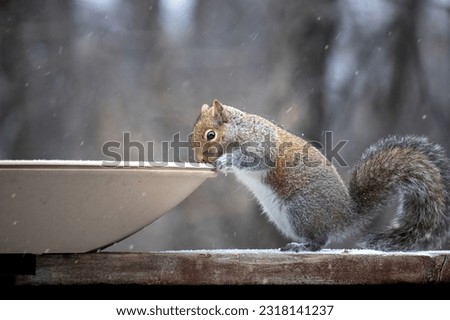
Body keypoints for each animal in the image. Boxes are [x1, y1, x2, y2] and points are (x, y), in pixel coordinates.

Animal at [192, 99, 450, 251]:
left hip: (300, 209)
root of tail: (344, 215)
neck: (240, 128)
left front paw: (225, 161)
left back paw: (303, 247)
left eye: (211, 135)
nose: (200, 159)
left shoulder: (261, 144)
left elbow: (256, 159)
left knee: (321, 241)